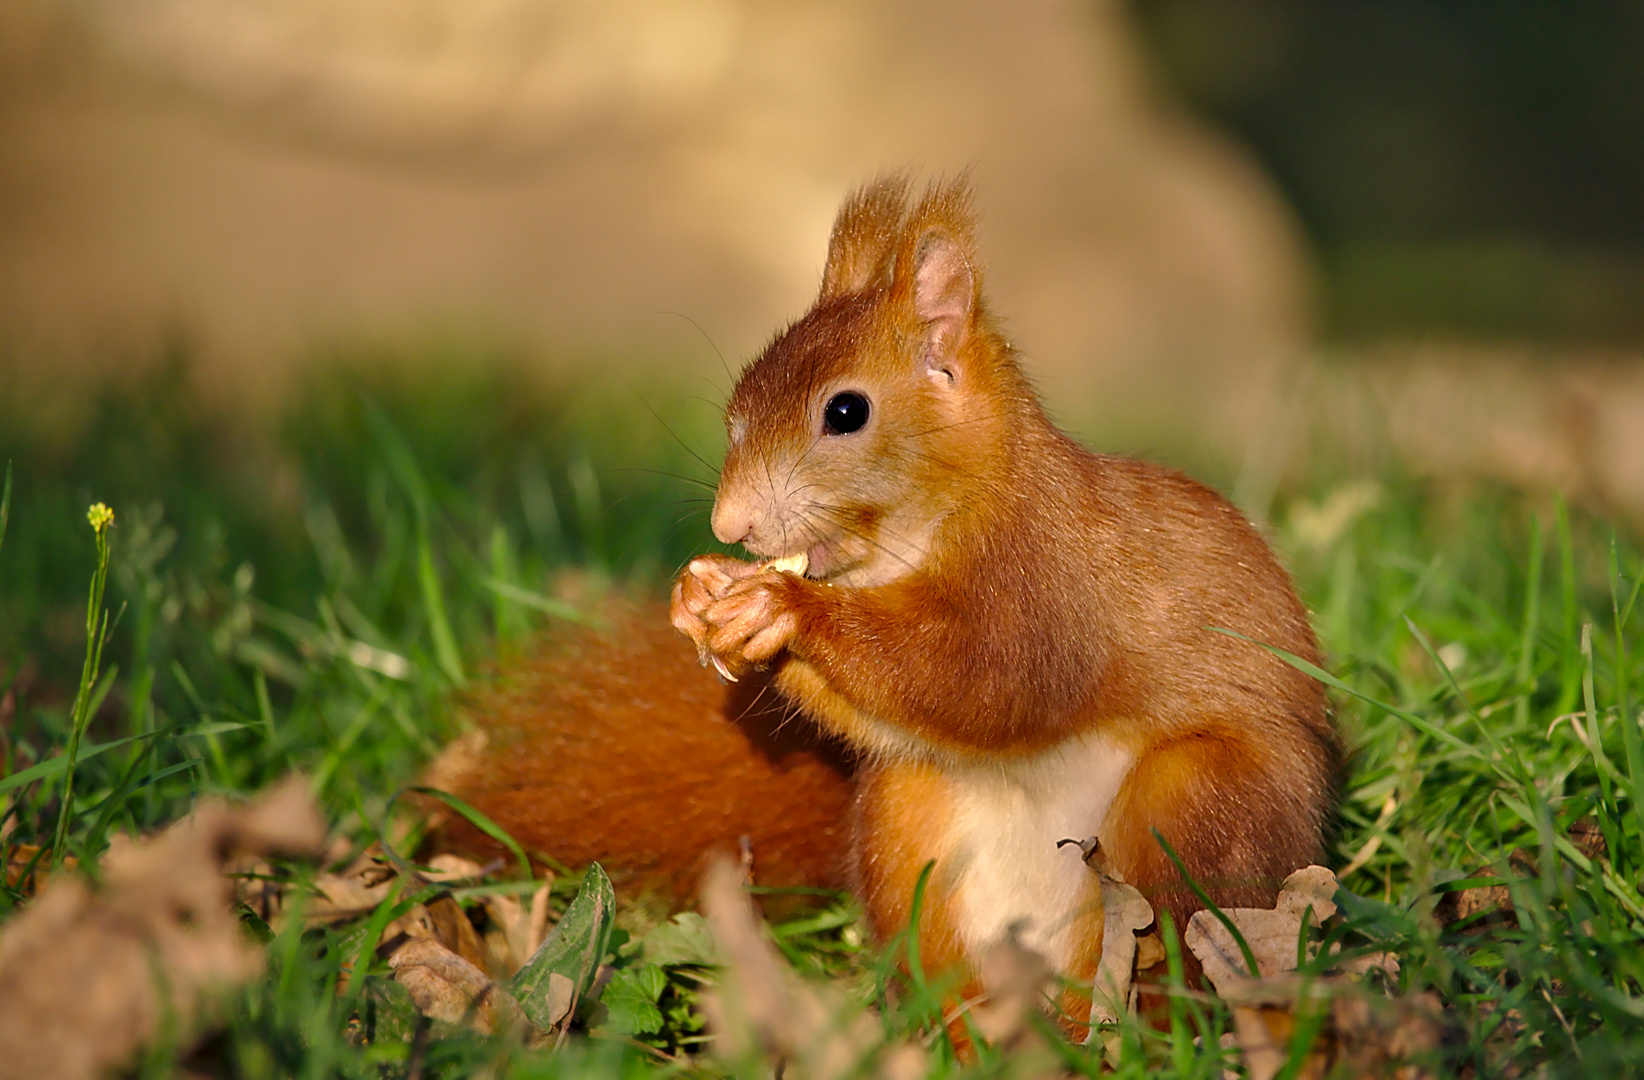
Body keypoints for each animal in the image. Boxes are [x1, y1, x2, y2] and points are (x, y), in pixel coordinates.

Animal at [434, 175, 1334, 1025]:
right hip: (906, 827)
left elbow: (986, 680)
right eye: (738, 406)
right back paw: (959, 1030)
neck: (907, 545)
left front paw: (787, 608)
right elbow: (888, 710)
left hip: (1193, 801)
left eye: (846, 411)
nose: (731, 525)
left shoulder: (1048, 582)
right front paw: (704, 595)